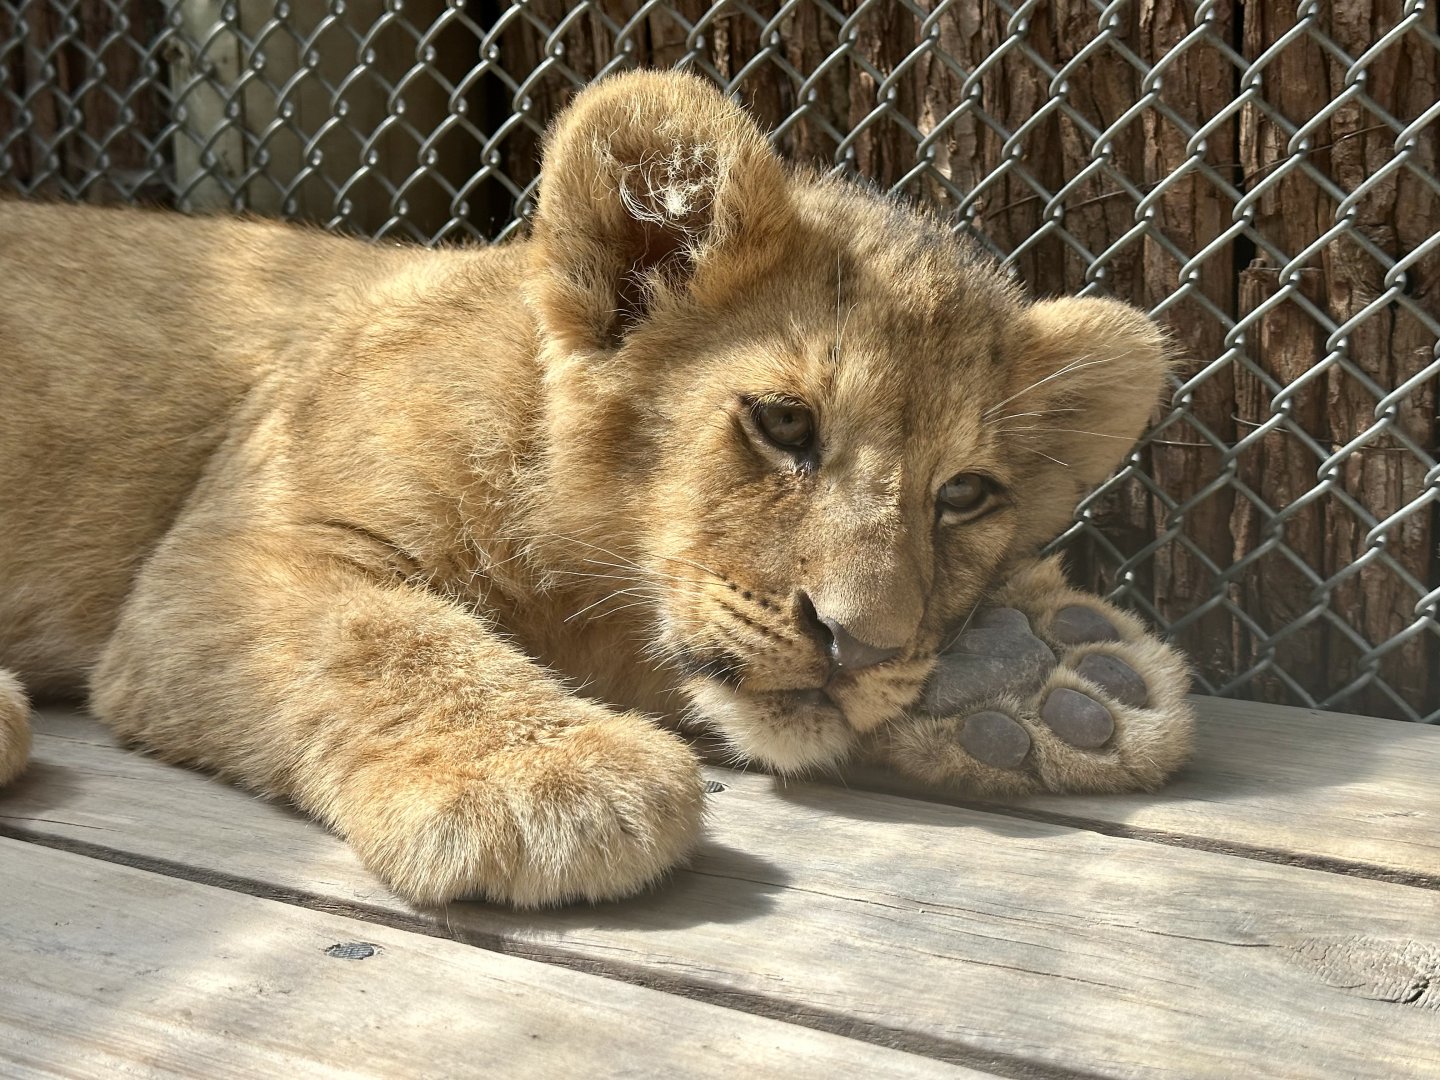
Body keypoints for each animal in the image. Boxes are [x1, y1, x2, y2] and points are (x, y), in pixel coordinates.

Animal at [0, 70, 1193, 907]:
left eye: (965, 497)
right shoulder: (237, 545)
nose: (861, 644)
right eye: (786, 425)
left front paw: (1041, 677)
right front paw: (545, 783)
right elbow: (381, 633)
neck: (582, 578)